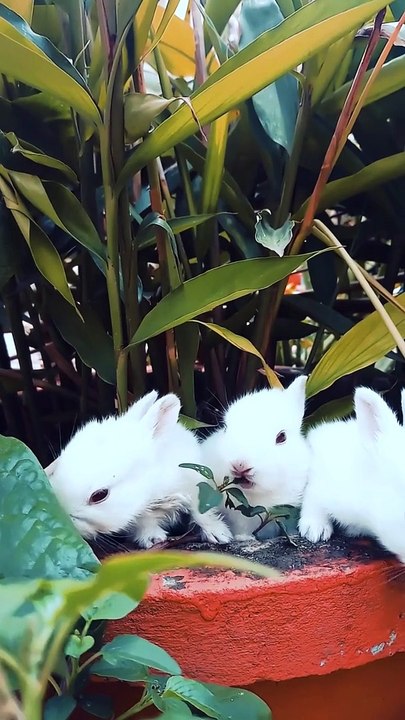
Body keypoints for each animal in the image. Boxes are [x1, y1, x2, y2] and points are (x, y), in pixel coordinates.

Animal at [46, 391, 232, 549]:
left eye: (99, 495)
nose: (68, 523)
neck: (153, 483)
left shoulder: (196, 490)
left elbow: (201, 512)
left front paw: (220, 534)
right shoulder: (141, 514)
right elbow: (145, 523)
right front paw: (153, 539)